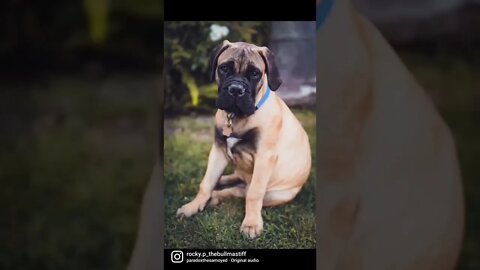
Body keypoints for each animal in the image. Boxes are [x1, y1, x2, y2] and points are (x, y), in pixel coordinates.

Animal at [175, 40, 312, 238]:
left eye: (255, 73)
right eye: (224, 68)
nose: (236, 90)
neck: (236, 117)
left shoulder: (264, 157)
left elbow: (254, 193)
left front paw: (251, 224)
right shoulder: (218, 151)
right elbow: (206, 183)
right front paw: (192, 207)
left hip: (275, 194)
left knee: (241, 191)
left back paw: (217, 197)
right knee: (235, 180)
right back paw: (220, 184)